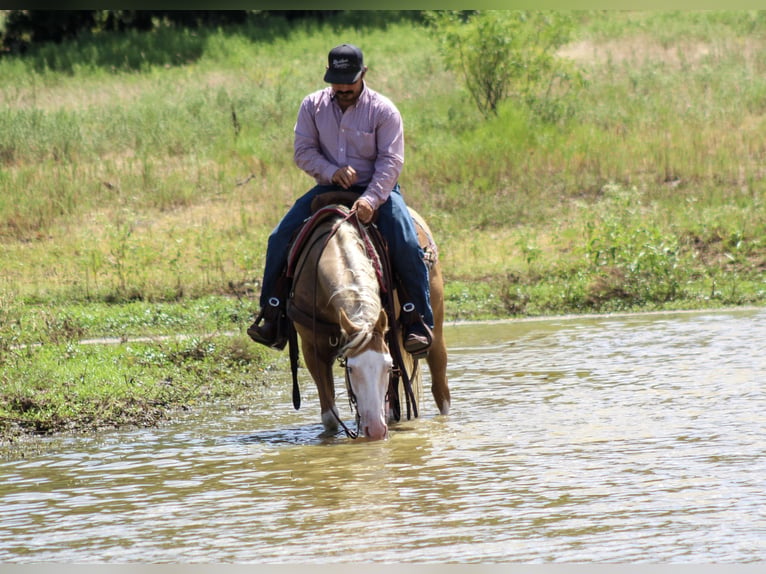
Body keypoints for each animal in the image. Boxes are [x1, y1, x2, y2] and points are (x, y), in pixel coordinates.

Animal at [286, 201, 450, 440]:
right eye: (351, 369)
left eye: (388, 367)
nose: (375, 430)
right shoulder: (312, 349)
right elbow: (329, 416)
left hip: (434, 330)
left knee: (440, 390)